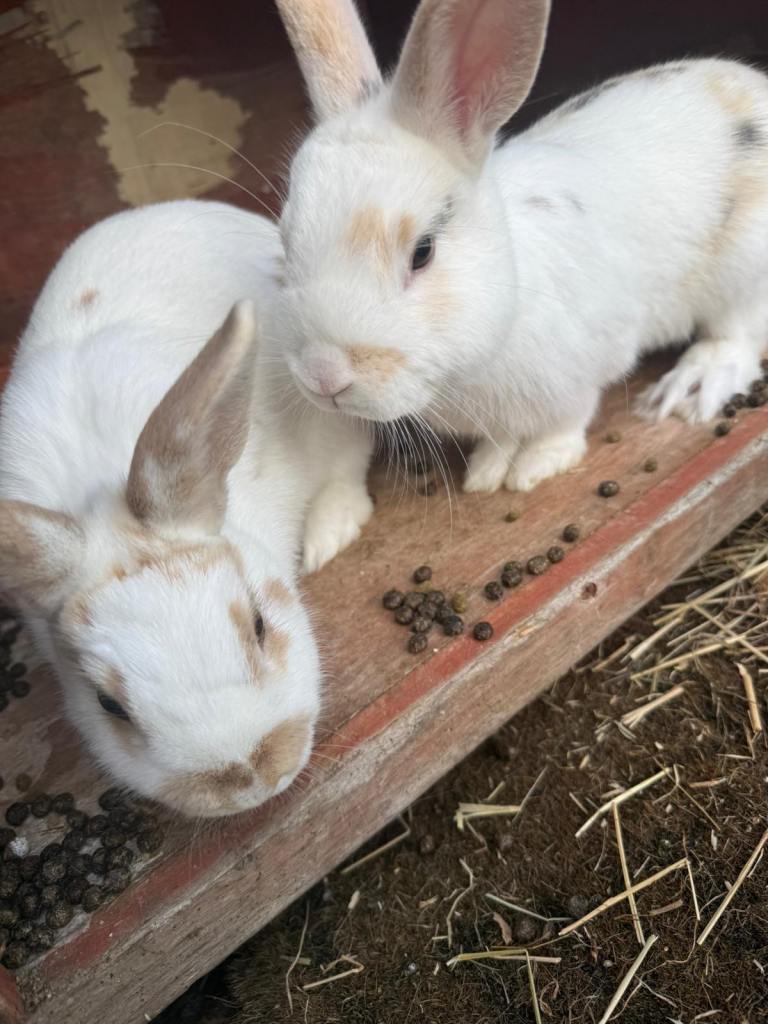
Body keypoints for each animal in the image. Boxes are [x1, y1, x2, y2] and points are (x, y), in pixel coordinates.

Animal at [273, 0, 768, 494]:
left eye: (422, 251)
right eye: (286, 238)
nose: (324, 376)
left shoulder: (581, 375)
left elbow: (565, 425)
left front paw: (535, 466)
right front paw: (489, 470)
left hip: (743, 272)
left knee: (737, 337)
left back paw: (689, 388)